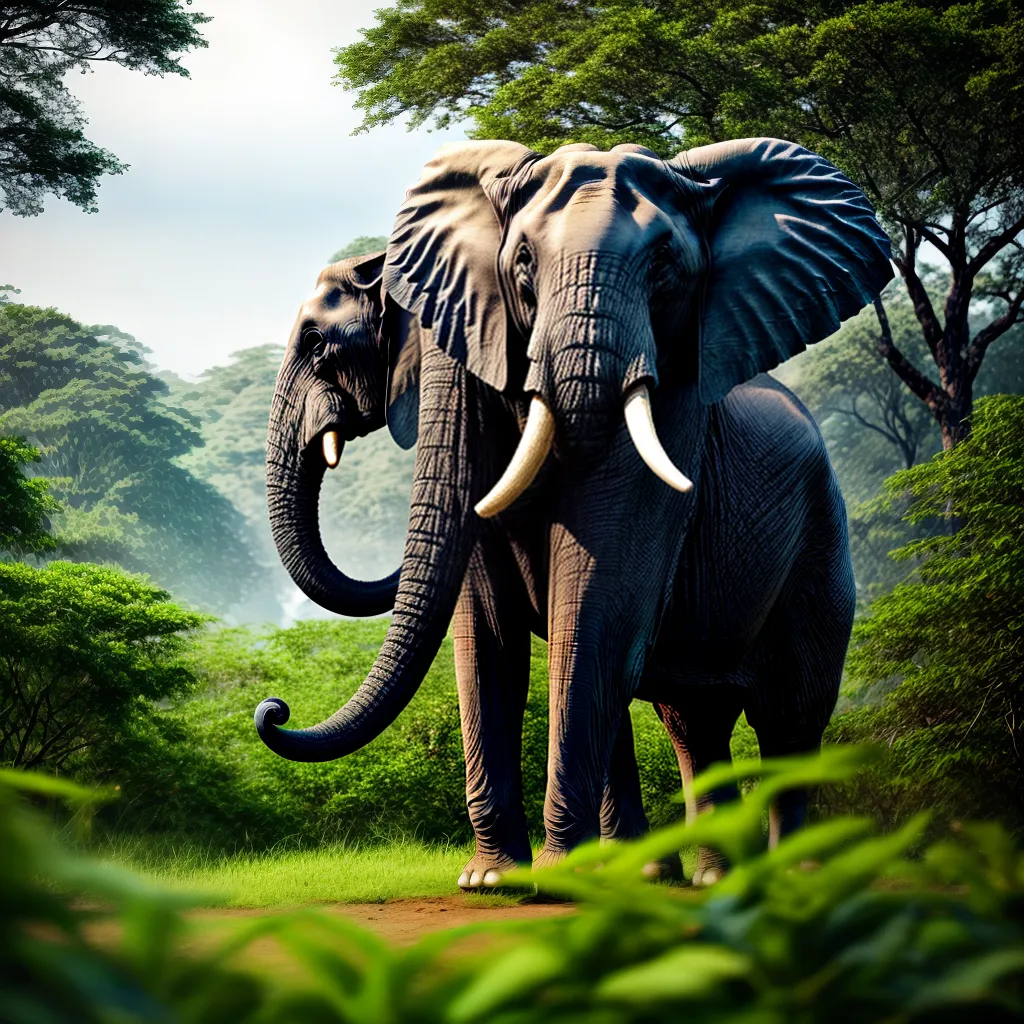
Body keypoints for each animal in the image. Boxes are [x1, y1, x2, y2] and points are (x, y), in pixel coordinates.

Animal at [255, 137, 893, 888]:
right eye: (523, 266)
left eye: (317, 345)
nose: (273, 710)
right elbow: (491, 626)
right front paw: (498, 880)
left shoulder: (669, 418)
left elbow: (591, 602)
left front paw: (561, 879)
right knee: (694, 722)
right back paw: (697, 879)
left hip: (821, 543)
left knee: (790, 718)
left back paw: (789, 878)